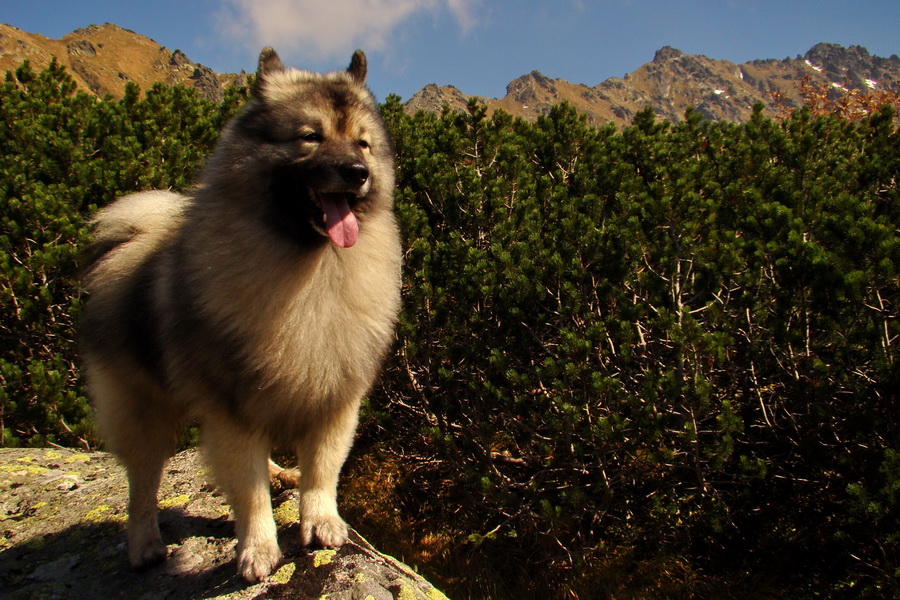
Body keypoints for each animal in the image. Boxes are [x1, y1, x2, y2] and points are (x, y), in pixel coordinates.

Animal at [79, 48, 402, 580]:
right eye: (310, 136)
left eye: (363, 143)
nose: (357, 171)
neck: (309, 268)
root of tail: (134, 241)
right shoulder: (231, 408)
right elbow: (248, 491)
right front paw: (258, 549)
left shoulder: (335, 396)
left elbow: (322, 470)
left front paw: (321, 521)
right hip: (142, 411)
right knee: (142, 483)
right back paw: (144, 544)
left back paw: (279, 473)